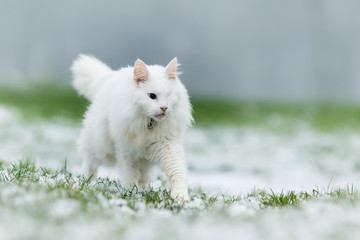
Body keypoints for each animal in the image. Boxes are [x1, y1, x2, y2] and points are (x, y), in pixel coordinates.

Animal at [71, 54, 193, 201]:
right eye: (152, 96)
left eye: (169, 95)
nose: (164, 108)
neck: (148, 122)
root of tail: (109, 78)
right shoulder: (126, 151)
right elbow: (129, 175)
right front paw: (131, 192)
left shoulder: (168, 146)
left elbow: (176, 172)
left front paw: (180, 197)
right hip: (100, 147)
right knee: (90, 162)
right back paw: (87, 182)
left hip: (145, 163)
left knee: (144, 177)